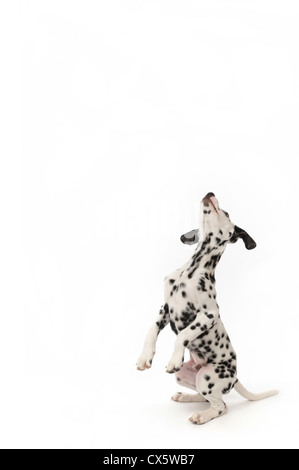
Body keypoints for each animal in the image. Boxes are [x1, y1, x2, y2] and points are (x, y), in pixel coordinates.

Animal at [138, 193, 278, 424]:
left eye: (226, 213)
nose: (210, 194)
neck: (191, 270)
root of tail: (235, 377)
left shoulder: (208, 314)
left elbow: (183, 335)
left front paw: (174, 358)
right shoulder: (165, 308)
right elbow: (150, 330)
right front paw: (145, 357)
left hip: (207, 377)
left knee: (221, 407)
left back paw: (201, 416)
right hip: (187, 377)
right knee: (208, 398)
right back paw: (185, 396)